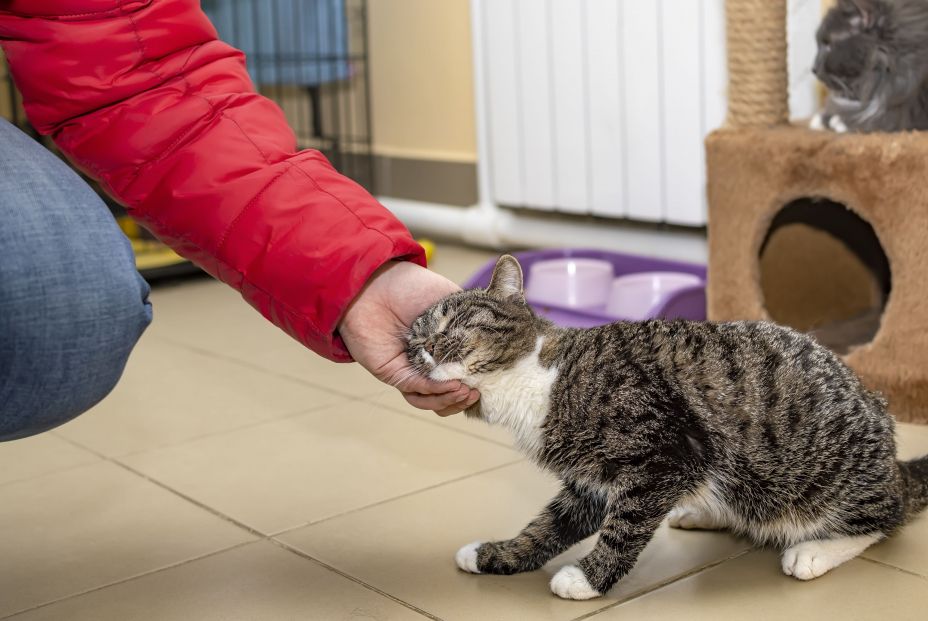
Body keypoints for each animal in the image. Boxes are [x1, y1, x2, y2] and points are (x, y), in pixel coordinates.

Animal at [404, 254, 928, 600]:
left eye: (455, 321)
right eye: (412, 339)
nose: (424, 348)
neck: (535, 376)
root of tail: (894, 464)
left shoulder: (664, 456)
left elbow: (625, 526)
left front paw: (587, 578)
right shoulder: (592, 481)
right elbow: (549, 525)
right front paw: (497, 554)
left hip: (819, 483)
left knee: (885, 517)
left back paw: (814, 551)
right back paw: (702, 513)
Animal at [808, 0, 928, 132]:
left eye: (829, 45)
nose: (813, 68)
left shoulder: (908, 104)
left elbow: (885, 117)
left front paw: (840, 121)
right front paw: (824, 119)